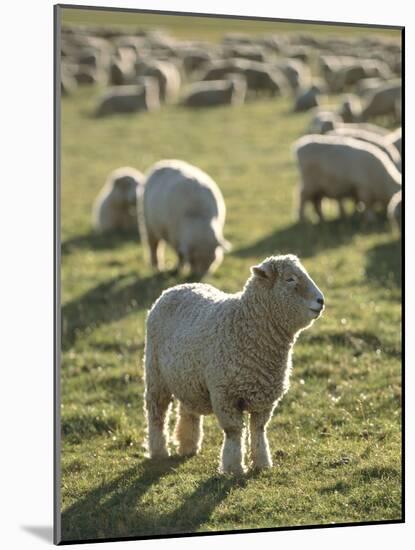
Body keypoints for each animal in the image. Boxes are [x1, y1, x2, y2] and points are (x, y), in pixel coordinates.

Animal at [145, 254, 326, 474]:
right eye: (290, 279)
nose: (321, 301)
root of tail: (175, 288)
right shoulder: (225, 394)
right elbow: (233, 431)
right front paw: (233, 467)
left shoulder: (264, 397)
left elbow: (258, 430)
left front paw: (262, 463)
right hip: (155, 375)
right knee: (157, 413)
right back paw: (159, 451)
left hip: (187, 377)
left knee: (187, 411)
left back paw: (188, 446)